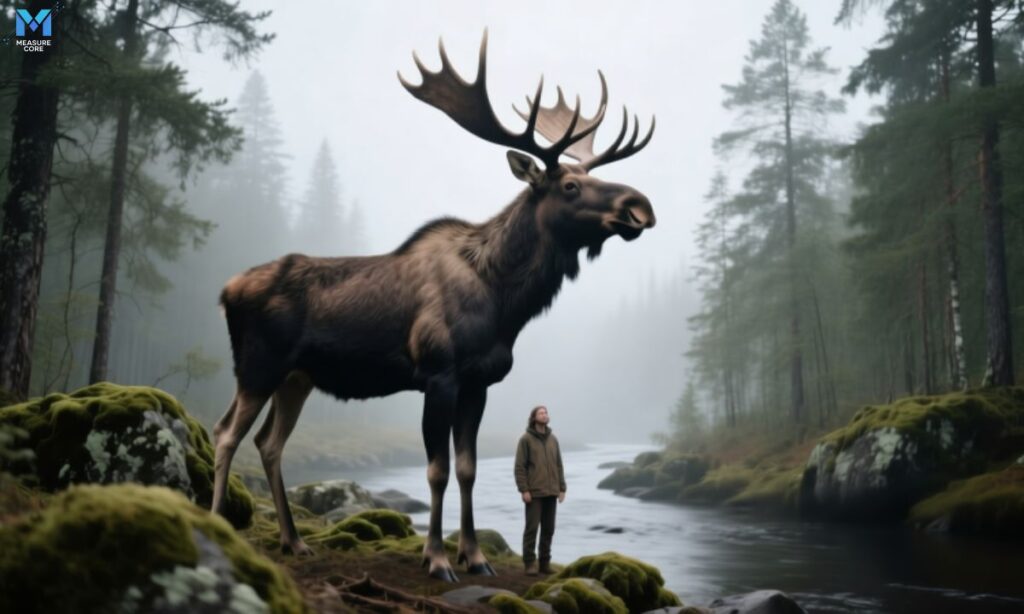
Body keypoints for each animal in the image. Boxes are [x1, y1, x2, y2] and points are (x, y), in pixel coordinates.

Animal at [209, 31, 655, 582]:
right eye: (570, 186)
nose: (639, 206)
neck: (504, 303)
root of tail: (226, 291)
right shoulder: (438, 374)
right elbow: (437, 470)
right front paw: (437, 558)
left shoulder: (479, 383)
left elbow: (467, 468)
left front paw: (475, 556)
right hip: (258, 365)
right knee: (225, 433)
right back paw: (216, 525)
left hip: (298, 377)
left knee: (269, 443)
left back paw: (294, 541)